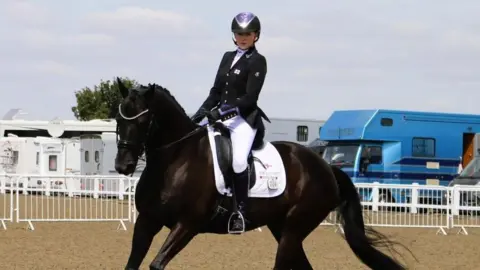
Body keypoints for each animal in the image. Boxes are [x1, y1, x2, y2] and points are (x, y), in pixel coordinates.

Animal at [113, 78, 408, 270]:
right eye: (118, 118)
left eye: (143, 120)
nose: (123, 166)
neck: (174, 160)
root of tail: (327, 167)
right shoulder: (147, 221)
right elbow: (131, 264)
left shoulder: (187, 225)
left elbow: (155, 265)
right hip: (281, 227)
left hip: (294, 228)